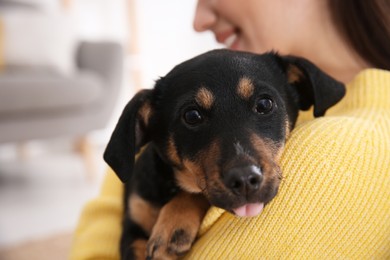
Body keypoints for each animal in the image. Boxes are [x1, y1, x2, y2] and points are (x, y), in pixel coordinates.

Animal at [103, 49, 344, 260]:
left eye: (264, 104)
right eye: (192, 116)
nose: (245, 180)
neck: (168, 188)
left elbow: (196, 193)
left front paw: (173, 226)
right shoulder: (132, 227)